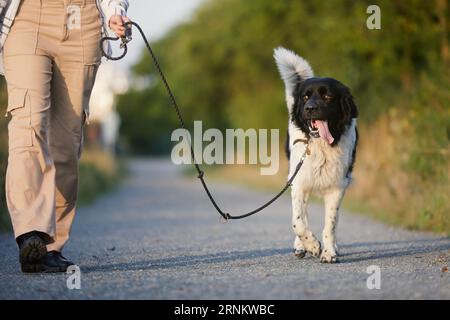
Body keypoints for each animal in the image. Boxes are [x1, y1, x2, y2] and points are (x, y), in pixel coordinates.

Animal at [272, 47, 356, 262]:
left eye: (328, 97)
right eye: (305, 97)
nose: (310, 108)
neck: (321, 145)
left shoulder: (337, 186)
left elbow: (330, 224)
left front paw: (329, 252)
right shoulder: (298, 182)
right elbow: (298, 222)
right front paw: (312, 245)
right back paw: (301, 247)